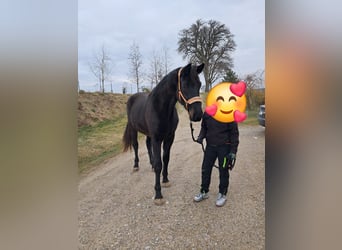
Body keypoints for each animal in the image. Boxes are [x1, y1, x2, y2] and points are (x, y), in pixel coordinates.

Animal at [122, 63, 203, 205]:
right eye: (185, 85)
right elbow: (159, 164)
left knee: (147, 145)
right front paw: (158, 194)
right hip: (133, 129)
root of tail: (132, 97)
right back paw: (136, 165)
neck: (161, 108)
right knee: (136, 145)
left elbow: (165, 159)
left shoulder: (169, 137)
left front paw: (165, 180)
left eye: (199, 84)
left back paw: (151, 164)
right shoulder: (157, 139)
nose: (197, 115)